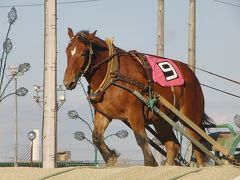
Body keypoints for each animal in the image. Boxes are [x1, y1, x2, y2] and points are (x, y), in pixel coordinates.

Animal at [63, 27, 210, 167]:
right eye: (67, 52)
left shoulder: (134, 112)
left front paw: (150, 162)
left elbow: (141, 138)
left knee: (198, 147)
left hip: (191, 118)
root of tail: (192, 75)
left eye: (83, 53)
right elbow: (96, 137)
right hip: (162, 120)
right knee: (173, 145)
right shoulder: (104, 113)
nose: (68, 82)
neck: (112, 74)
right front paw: (111, 158)